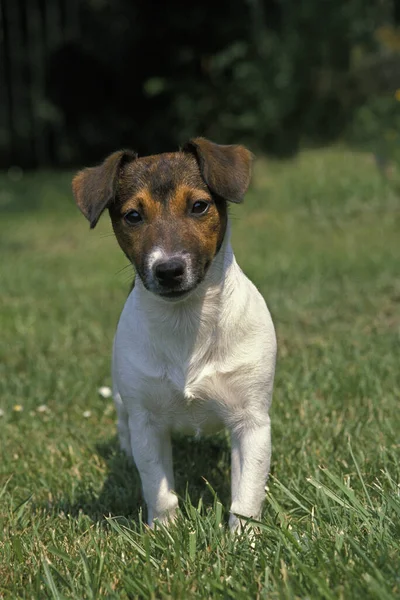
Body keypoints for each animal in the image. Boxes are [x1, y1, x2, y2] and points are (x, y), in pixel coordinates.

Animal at [72, 139, 276, 528]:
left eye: (199, 206)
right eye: (133, 216)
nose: (168, 270)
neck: (186, 321)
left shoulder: (251, 421)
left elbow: (247, 495)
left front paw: (244, 538)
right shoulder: (148, 423)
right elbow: (158, 489)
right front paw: (164, 531)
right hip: (122, 394)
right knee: (123, 421)